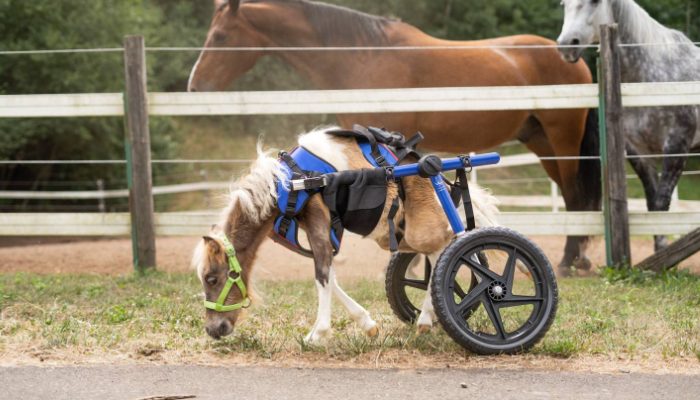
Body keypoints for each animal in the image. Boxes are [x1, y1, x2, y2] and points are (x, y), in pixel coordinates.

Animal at [190, 0, 600, 274]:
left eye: (221, 35)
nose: (195, 86)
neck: (362, 55)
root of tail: (574, 58)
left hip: (563, 142)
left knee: (575, 198)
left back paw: (571, 262)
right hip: (542, 144)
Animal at [190, 126, 498, 342]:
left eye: (212, 278)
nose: (213, 329)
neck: (290, 181)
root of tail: (437, 172)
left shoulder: (318, 218)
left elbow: (322, 276)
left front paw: (318, 334)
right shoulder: (318, 228)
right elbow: (329, 275)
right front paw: (367, 325)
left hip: (421, 232)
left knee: (446, 253)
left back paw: (427, 318)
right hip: (404, 236)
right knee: (436, 259)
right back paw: (427, 320)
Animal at [556, 0, 696, 250]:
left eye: (594, 2)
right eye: (564, 4)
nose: (566, 46)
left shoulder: (677, 148)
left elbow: (661, 204)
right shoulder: (639, 153)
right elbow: (653, 205)